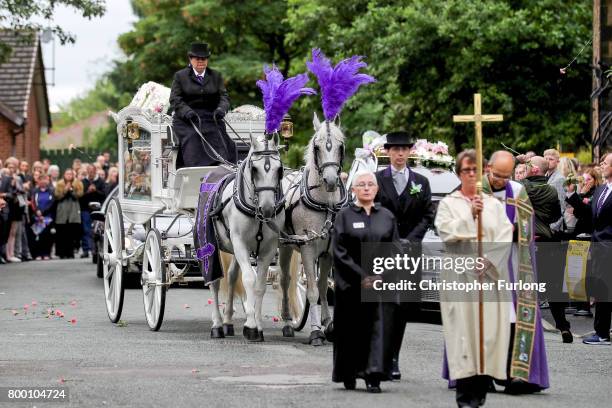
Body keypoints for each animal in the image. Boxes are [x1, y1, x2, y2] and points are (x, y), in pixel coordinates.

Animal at [209, 134, 286, 342]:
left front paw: (257, 326)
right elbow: (249, 279)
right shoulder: (240, 244)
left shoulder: (268, 249)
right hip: (210, 246)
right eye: (254, 169)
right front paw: (250, 326)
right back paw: (217, 324)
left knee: (231, 277)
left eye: (279, 169)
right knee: (214, 282)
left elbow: (259, 285)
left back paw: (227, 321)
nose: (267, 209)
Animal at [278, 111, 346, 344]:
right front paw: (316, 331)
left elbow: (324, 287)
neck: (327, 204)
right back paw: (287, 323)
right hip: (285, 246)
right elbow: (313, 290)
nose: (331, 180)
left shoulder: (329, 252)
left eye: (340, 146)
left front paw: (329, 324)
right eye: (317, 147)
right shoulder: (308, 248)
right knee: (285, 281)